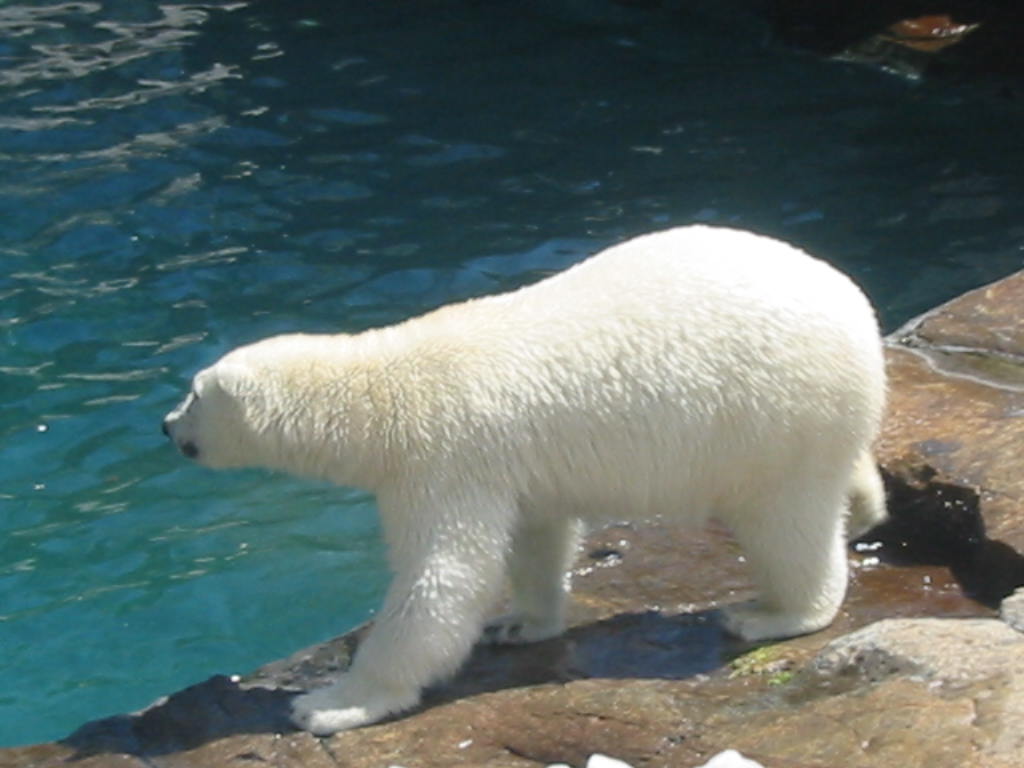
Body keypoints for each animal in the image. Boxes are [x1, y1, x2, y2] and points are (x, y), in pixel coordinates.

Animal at [161, 227, 888, 741]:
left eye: (193, 395)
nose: (166, 427)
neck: (383, 390)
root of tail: (860, 313)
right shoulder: (512, 465)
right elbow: (537, 537)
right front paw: (518, 624)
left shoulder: (443, 456)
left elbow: (441, 578)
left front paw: (328, 704)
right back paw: (862, 507)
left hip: (779, 413)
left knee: (784, 522)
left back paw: (771, 612)